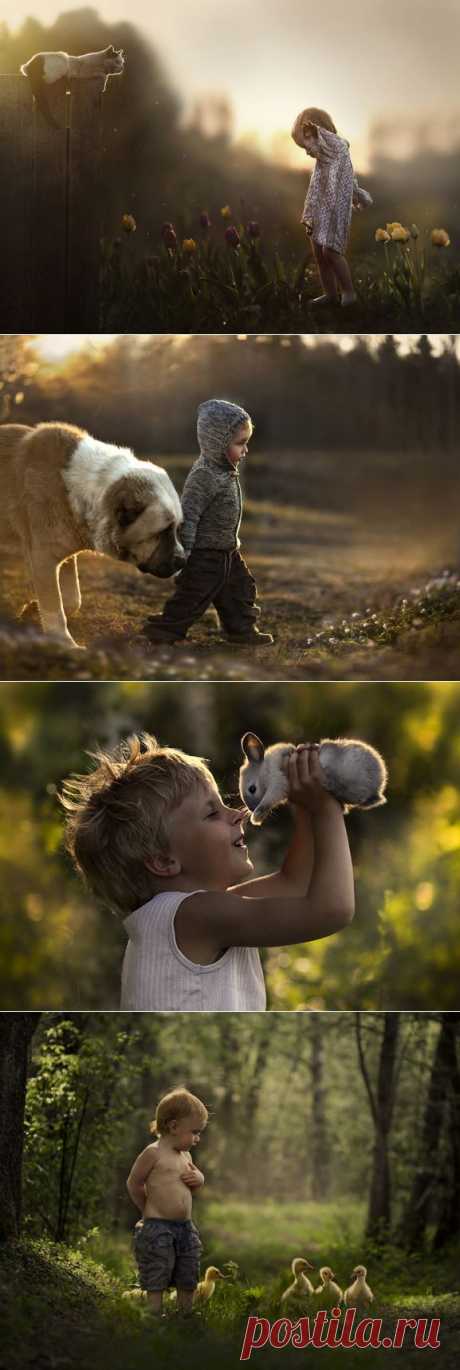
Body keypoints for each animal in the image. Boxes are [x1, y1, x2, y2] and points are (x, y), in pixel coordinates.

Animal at [1, 419, 186, 649]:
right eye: (162, 532)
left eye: (178, 528)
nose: (183, 561)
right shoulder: (42, 557)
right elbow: (54, 606)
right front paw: (64, 643)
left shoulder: (62, 554)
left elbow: (72, 598)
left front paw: (33, 610)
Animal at [239, 728, 386, 822]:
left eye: (252, 789)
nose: (251, 809)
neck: (267, 768)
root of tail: (379, 785)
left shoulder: (277, 782)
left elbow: (268, 800)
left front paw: (256, 817)